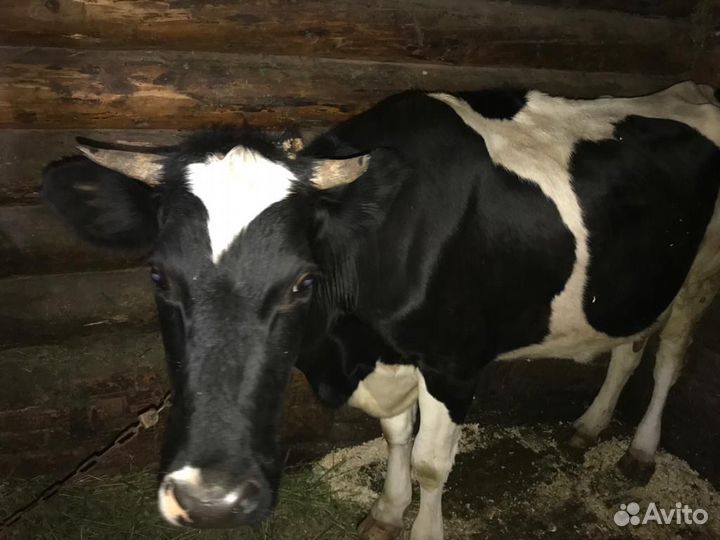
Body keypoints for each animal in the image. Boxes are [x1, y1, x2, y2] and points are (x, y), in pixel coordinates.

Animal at [42, 81, 720, 540]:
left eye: (303, 282)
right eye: (158, 275)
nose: (210, 500)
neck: (350, 345)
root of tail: (690, 90)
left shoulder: (453, 362)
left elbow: (430, 464)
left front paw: (421, 525)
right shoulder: (389, 359)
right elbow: (396, 436)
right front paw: (387, 512)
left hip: (702, 272)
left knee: (670, 357)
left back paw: (640, 452)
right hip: (640, 282)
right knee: (630, 348)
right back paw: (589, 426)